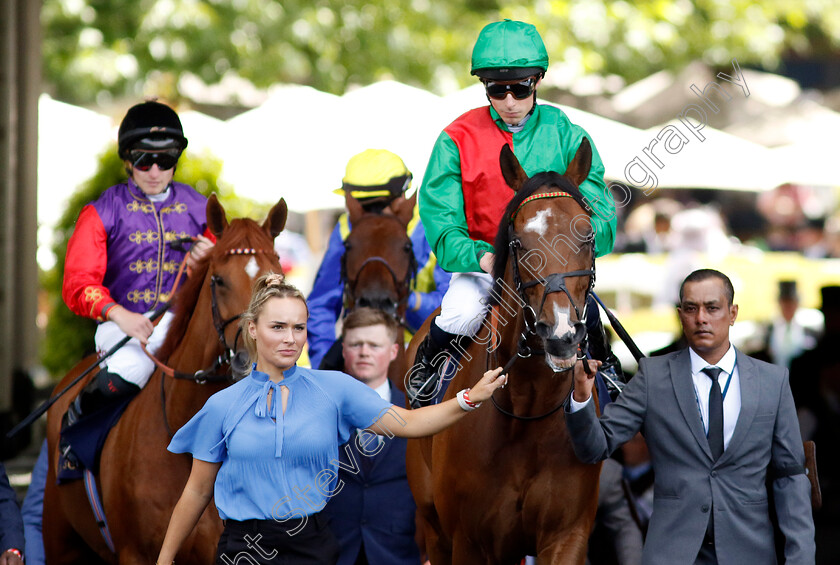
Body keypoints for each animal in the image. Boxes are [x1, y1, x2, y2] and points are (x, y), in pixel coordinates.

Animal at [406, 139, 604, 560]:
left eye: (588, 235)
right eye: (518, 241)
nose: (560, 333)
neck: (527, 411)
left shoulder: (568, 534)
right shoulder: (468, 540)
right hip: (433, 524)